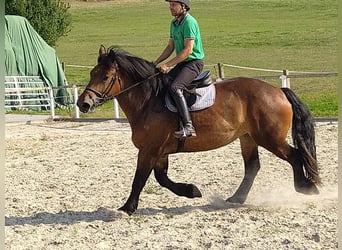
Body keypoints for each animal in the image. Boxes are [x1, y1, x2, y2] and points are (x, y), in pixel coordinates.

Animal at [77, 46, 320, 216]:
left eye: (105, 77)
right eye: (92, 73)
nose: (83, 104)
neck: (148, 101)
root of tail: (278, 91)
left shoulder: (149, 150)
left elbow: (140, 178)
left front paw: (127, 207)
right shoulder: (159, 151)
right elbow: (161, 178)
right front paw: (191, 190)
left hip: (269, 138)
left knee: (295, 156)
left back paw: (305, 187)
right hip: (248, 138)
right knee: (252, 167)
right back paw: (236, 199)